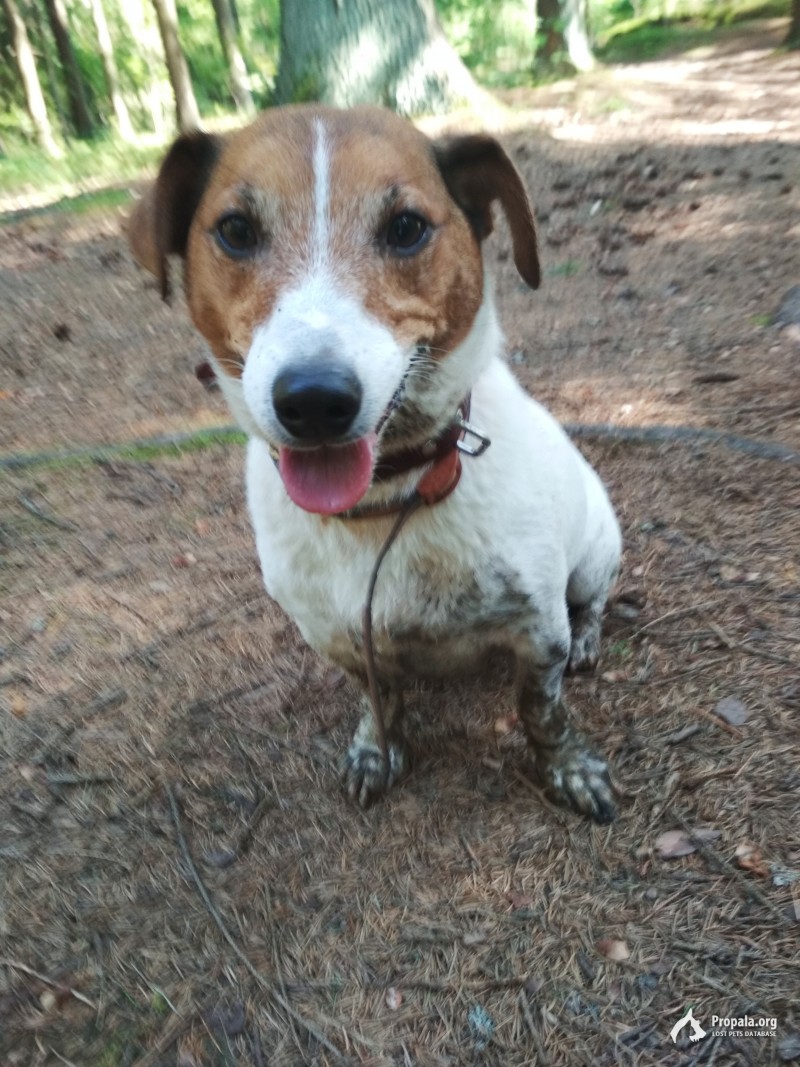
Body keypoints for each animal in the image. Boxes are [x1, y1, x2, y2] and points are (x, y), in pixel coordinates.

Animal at [130, 106, 618, 823]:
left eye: (406, 227)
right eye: (236, 231)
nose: (314, 400)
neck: (390, 498)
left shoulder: (538, 630)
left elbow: (543, 711)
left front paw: (569, 768)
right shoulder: (336, 636)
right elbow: (378, 697)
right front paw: (375, 748)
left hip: (594, 554)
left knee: (595, 602)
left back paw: (591, 636)